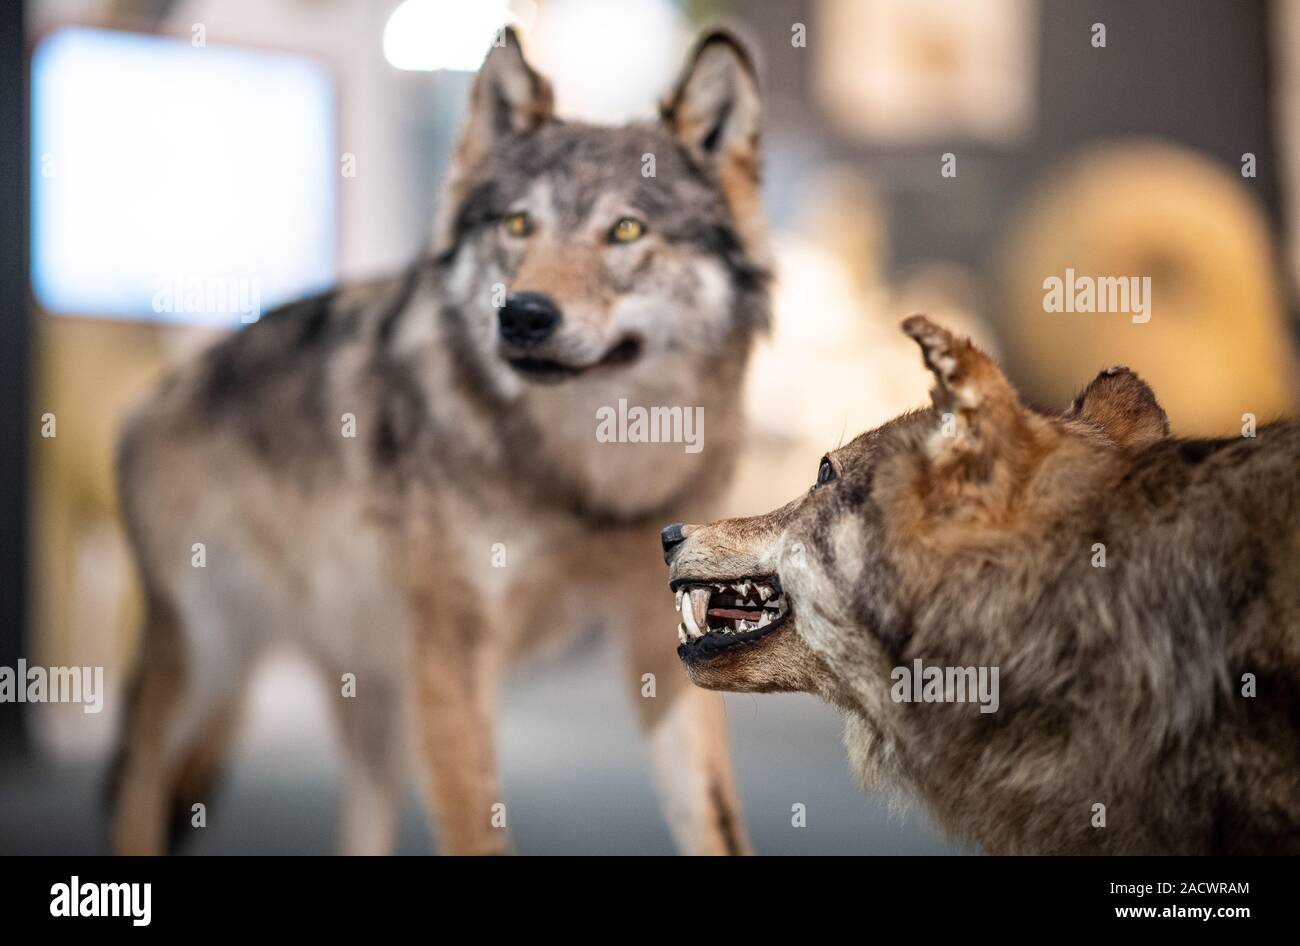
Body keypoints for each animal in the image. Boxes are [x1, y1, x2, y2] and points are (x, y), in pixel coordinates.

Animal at [111, 29, 769, 857]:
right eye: (517, 225)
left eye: (625, 230)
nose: (523, 315)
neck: (593, 477)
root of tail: (155, 395)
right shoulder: (454, 660)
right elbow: (476, 830)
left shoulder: (665, 644)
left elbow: (715, 824)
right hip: (214, 659)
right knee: (137, 780)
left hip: (371, 691)